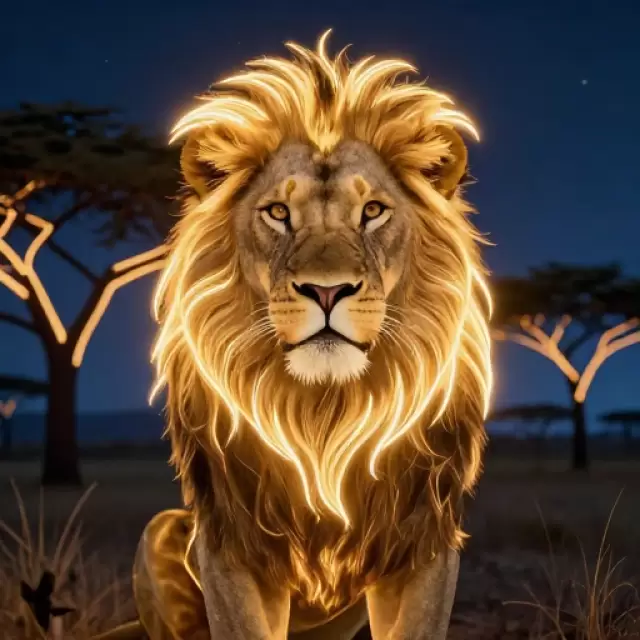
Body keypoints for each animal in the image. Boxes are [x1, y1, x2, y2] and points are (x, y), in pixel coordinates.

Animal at [112, 30, 493, 640]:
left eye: (373, 211)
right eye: (277, 213)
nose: (327, 290)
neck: (323, 412)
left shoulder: (423, 541)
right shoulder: (232, 547)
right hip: (158, 532)